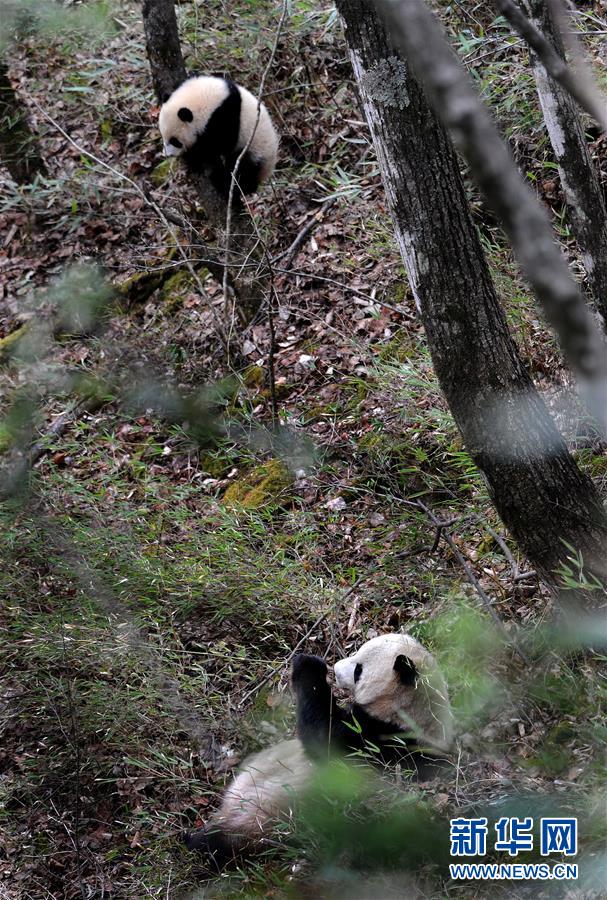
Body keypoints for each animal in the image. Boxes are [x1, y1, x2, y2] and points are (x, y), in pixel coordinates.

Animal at [188, 632, 454, 864]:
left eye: (359, 670)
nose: (335, 668)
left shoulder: (377, 741)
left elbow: (322, 736)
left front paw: (309, 665)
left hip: (264, 817)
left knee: (228, 839)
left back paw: (197, 841)